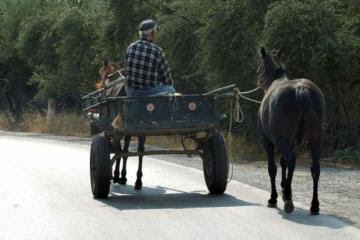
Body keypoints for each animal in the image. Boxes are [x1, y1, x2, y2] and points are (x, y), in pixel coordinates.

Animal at [82, 86, 233, 199]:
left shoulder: (117, 132)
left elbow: (122, 153)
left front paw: (119, 177)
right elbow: (128, 152)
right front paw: (121, 177)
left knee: (124, 152)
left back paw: (124, 179)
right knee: (137, 152)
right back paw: (137, 182)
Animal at [258, 47, 324, 215]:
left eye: (260, 66)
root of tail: (301, 90)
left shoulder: (268, 142)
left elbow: (273, 168)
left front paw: (274, 197)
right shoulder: (291, 141)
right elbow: (283, 164)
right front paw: (284, 187)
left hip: (280, 141)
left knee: (292, 159)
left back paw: (288, 198)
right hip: (315, 139)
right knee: (315, 168)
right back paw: (314, 205)